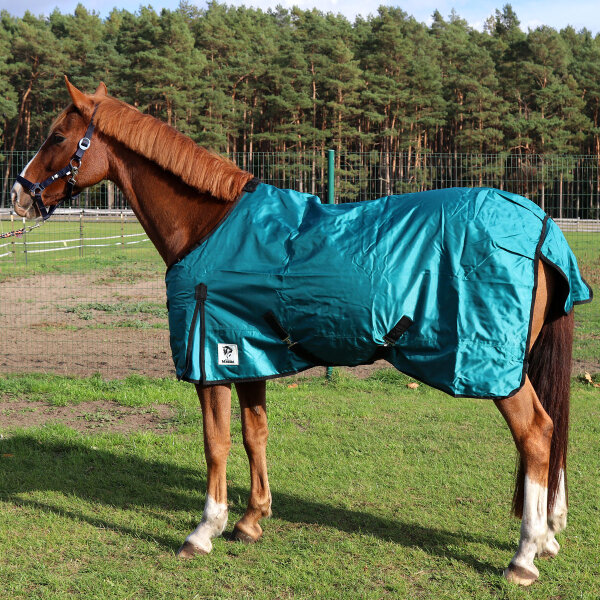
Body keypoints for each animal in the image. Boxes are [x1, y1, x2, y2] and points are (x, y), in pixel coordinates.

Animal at [11, 79, 580, 584]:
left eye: (57, 137)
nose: (18, 193)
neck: (210, 226)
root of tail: (541, 224)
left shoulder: (210, 359)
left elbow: (215, 442)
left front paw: (205, 530)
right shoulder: (244, 352)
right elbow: (253, 434)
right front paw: (251, 519)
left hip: (494, 368)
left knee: (536, 434)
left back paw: (524, 555)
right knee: (550, 435)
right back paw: (549, 535)